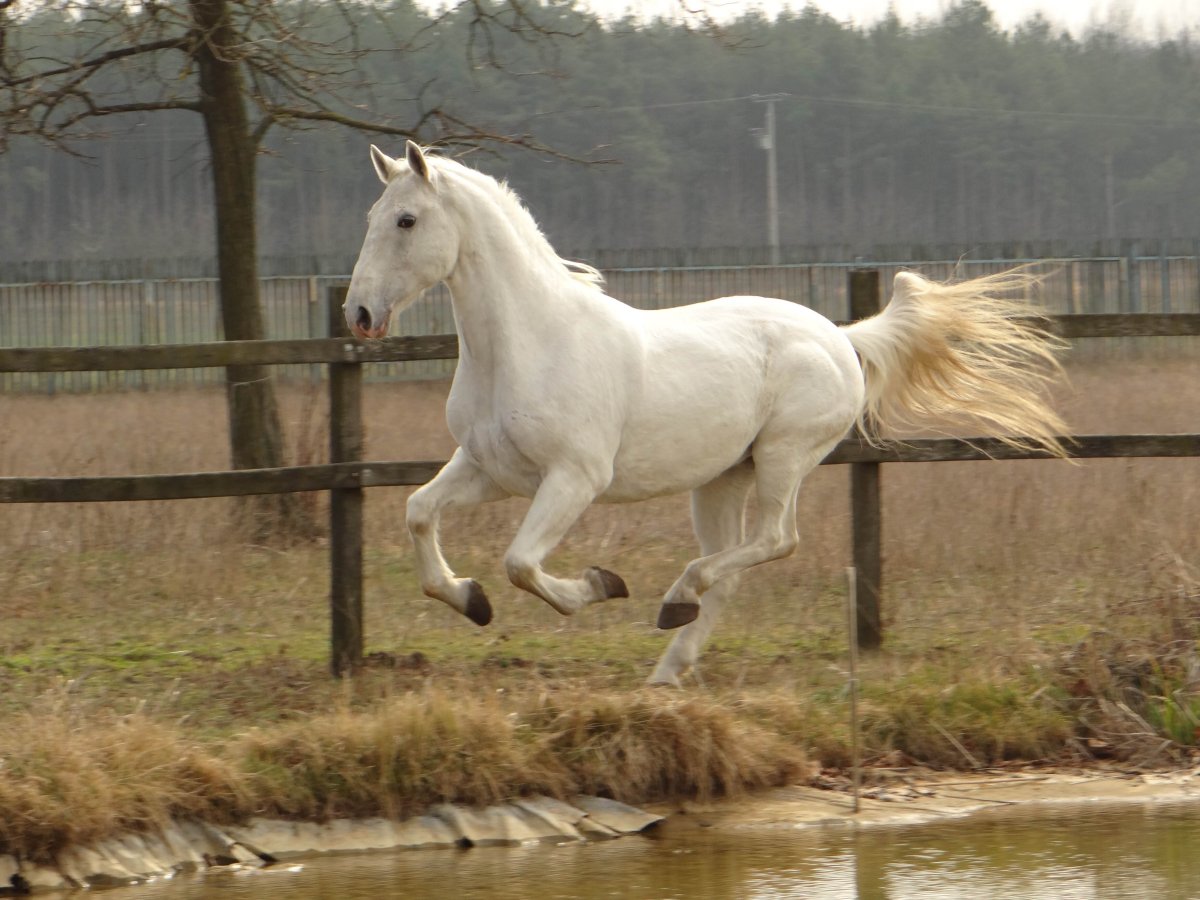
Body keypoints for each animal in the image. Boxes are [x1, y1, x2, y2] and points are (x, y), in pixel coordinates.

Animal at [345, 141, 1069, 686]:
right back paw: (670, 662)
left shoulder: (574, 478)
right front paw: (471, 601)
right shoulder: (489, 470)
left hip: (783, 458)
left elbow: (521, 562)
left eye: (406, 220)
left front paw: (599, 585)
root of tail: (841, 337)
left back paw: (674, 603)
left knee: (772, 542)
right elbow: (418, 512)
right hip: (722, 479)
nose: (359, 314)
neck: (528, 343)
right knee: (731, 569)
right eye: (372, 214)